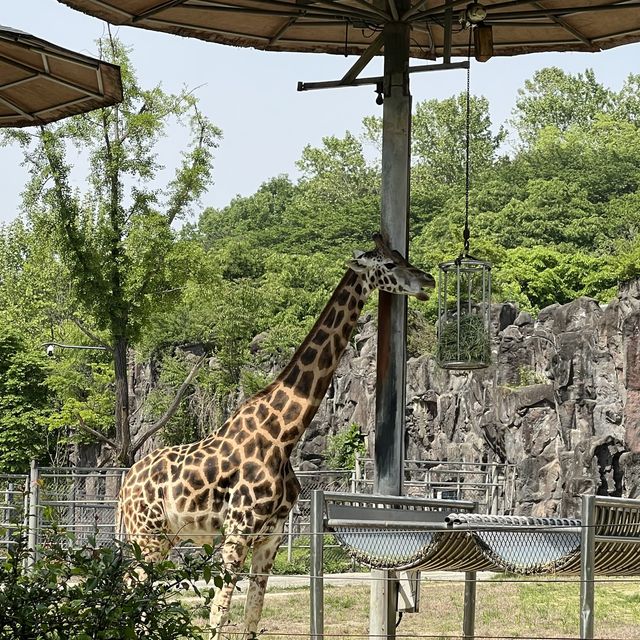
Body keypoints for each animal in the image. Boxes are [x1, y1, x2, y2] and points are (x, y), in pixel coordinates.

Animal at [116, 232, 436, 636]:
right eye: (391, 264)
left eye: (400, 254)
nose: (428, 280)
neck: (284, 435)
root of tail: (125, 485)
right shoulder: (238, 532)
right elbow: (218, 615)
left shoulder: (271, 537)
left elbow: (253, 616)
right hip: (147, 536)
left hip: (162, 537)